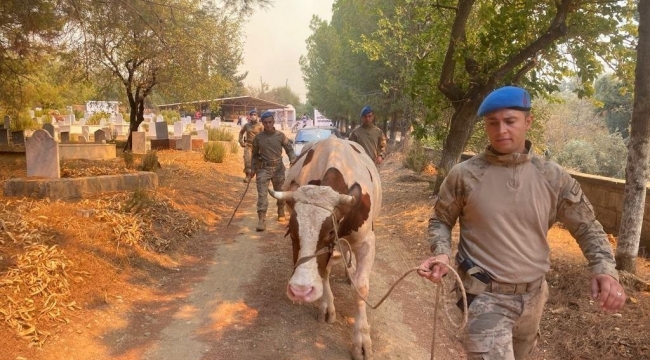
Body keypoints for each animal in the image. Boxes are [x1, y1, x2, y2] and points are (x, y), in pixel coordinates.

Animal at [268, 136, 380, 360]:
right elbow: (324, 271)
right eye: (291, 231)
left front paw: (362, 340)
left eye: (329, 231)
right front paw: (327, 306)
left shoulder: (366, 241)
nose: (300, 291)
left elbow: (361, 288)